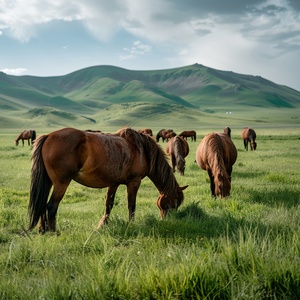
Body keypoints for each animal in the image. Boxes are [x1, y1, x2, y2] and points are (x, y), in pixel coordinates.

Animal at [28, 126, 188, 232]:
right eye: (174, 202)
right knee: (51, 206)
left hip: (49, 182)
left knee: (42, 204)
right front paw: (132, 225)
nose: (167, 220)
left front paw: (103, 225)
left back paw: (42, 230)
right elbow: (131, 206)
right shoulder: (134, 182)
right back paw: (53, 232)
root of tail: (48, 136)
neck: (142, 150)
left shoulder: (114, 183)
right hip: (61, 183)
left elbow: (108, 205)